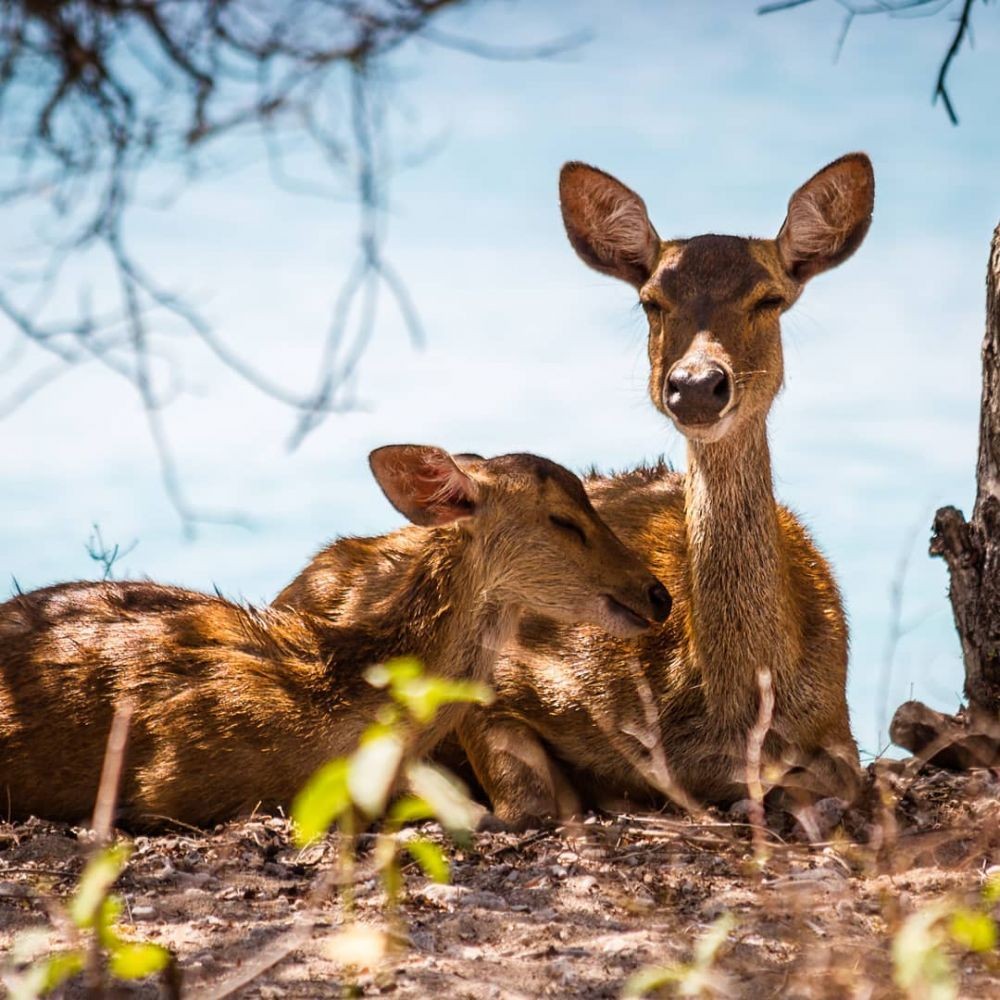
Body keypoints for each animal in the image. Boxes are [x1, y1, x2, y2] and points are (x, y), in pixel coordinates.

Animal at [454, 152, 876, 832]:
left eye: (769, 299)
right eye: (652, 301)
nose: (698, 384)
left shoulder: (838, 725)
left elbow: (837, 780)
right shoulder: (509, 672)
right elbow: (526, 798)